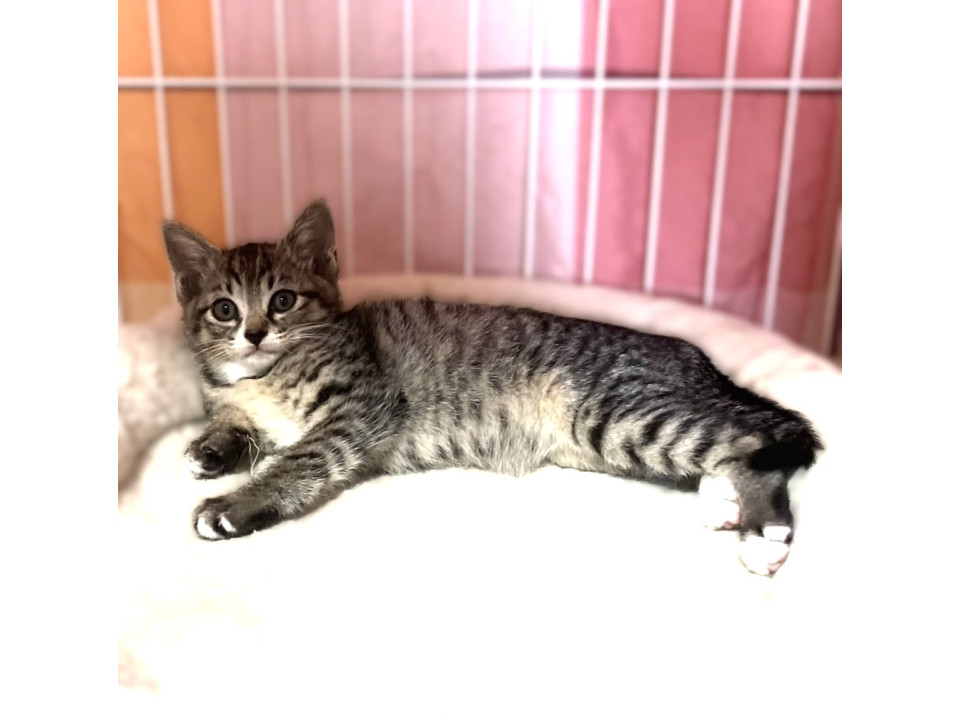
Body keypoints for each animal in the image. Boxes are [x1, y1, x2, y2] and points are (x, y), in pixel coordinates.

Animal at [163, 199, 822, 576]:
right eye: (224, 309)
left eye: (282, 301)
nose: (252, 332)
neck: (264, 375)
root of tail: (691, 354)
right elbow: (242, 428)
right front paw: (213, 448)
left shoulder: (362, 406)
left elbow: (301, 458)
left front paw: (233, 503)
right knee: (745, 439)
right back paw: (723, 501)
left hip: (615, 410)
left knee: (760, 435)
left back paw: (765, 532)